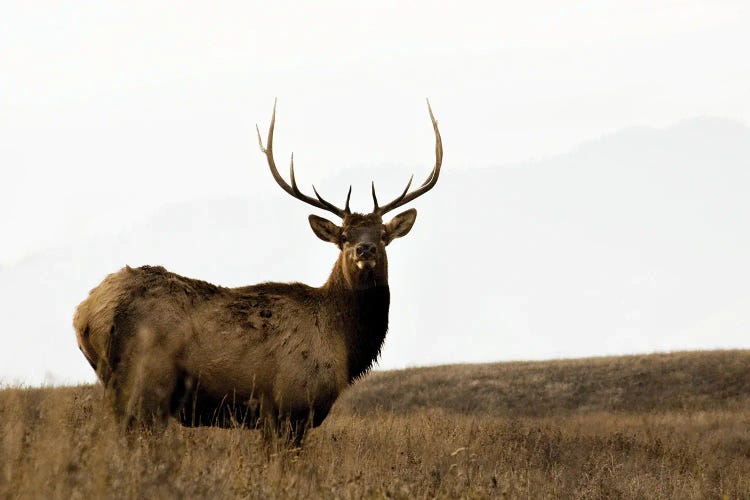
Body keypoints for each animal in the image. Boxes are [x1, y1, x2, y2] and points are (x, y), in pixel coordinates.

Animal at [73, 99, 444, 444]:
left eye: (382, 235)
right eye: (343, 237)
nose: (364, 250)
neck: (345, 343)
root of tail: (85, 313)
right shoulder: (289, 404)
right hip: (145, 381)